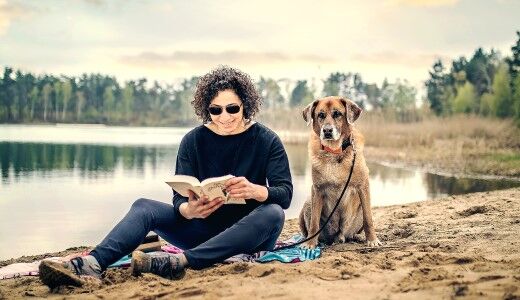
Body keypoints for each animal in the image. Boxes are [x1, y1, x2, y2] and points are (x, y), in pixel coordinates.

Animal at [298, 96, 380, 248]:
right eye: (320, 115)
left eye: (337, 114)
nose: (327, 131)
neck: (334, 152)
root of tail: (339, 236)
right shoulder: (317, 189)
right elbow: (314, 223)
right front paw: (310, 244)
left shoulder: (363, 186)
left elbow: (368, 218)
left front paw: (372, 239)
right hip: (308, 203)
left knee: (352, 232)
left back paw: (357, 236)